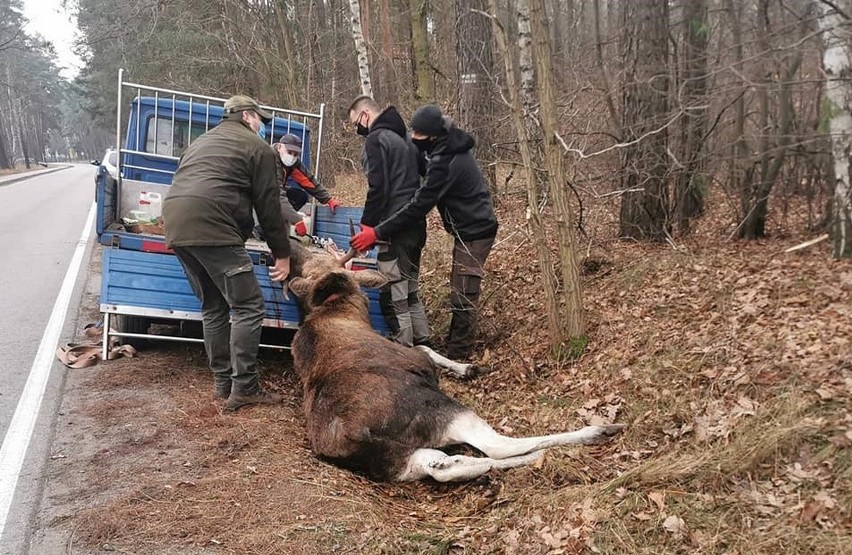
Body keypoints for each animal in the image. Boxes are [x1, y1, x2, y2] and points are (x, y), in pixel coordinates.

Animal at [290, 248, 624, 482]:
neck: (338, 309)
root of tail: (355, 435)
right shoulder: (417, 359)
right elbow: (423, 346)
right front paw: (466, 368)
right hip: (444, 411)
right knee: (496, 445)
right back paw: (595, 431)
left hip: (400, 462)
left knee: (447, 467)